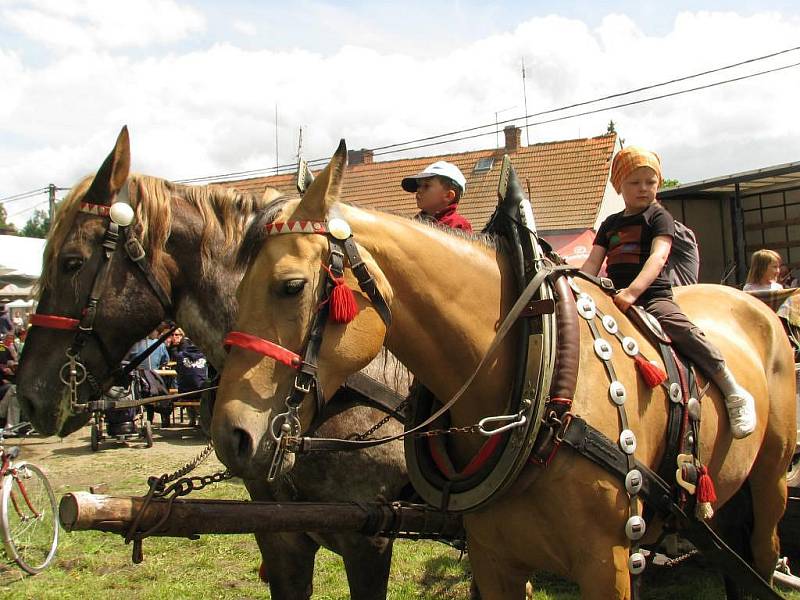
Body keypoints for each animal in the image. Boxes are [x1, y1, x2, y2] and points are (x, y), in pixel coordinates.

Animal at [216, 142, 796, 600]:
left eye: (291, 286)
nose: (230, 436)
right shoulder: (495, 560)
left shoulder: (608, 565)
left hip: (770, 482)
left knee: (761, 555)